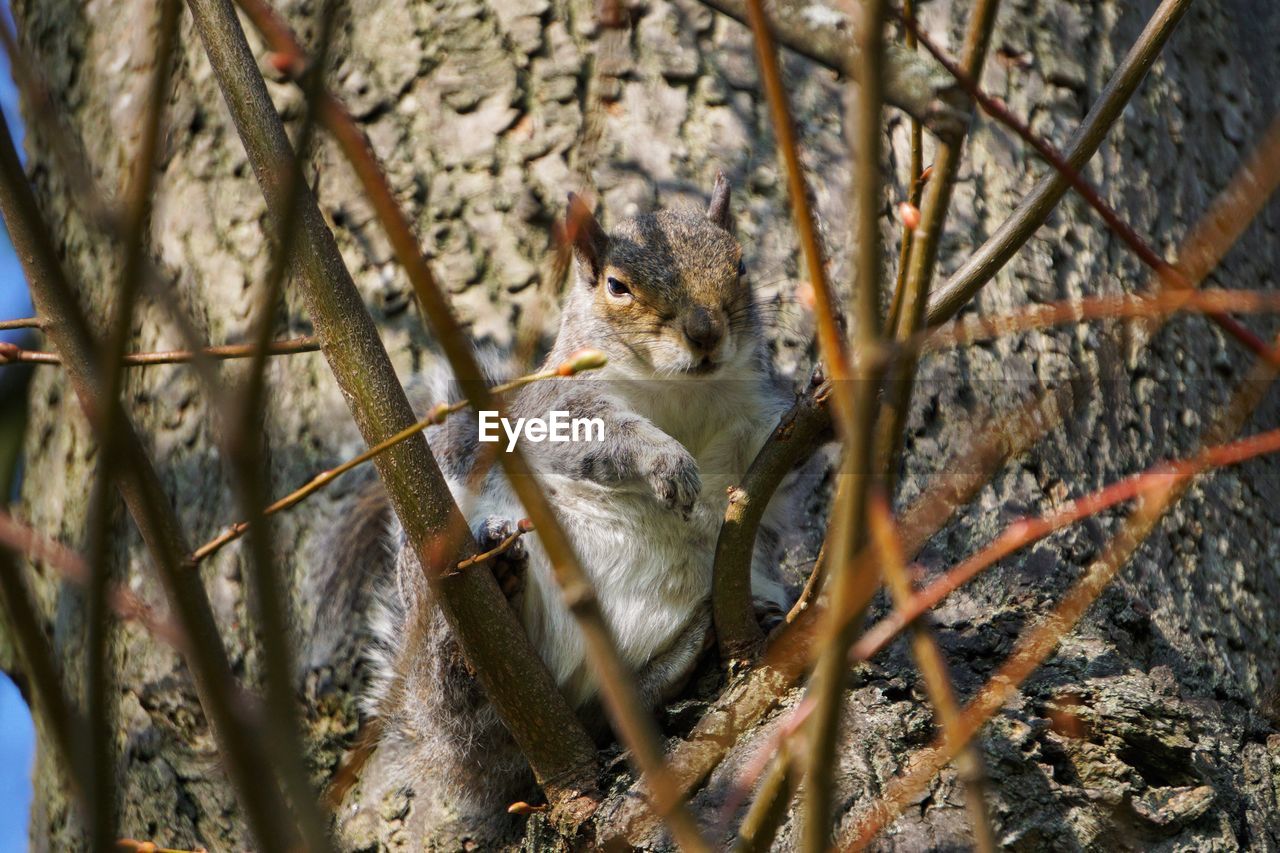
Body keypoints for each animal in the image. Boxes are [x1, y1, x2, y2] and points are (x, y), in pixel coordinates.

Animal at [311, 171, 808, 819]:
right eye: (617, 286)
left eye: (742, 263)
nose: (705, 333)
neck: (680, 391)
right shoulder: (556, 407)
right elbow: (602, 436)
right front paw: (665, 461)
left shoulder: (754, 408)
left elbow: (772, 455)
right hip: (447, 599)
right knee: (471, 690)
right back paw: (495, 595)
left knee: (614, 710)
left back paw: (703, 648)